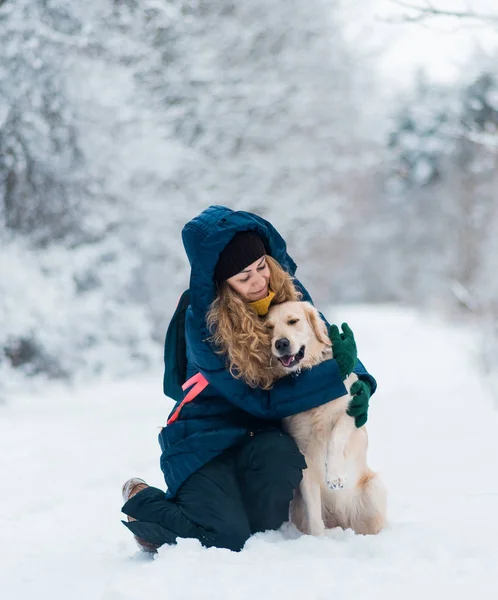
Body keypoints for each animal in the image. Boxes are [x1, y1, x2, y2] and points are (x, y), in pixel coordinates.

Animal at [264, 302, 386, 536]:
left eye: (293, 321)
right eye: (268, 328)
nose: (281, 343)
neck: (310, 383)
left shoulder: (352, 408)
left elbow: (336, 435)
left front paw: (335, 474)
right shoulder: (303, 454)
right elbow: (314, 515)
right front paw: (318, 540)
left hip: (373, 490)